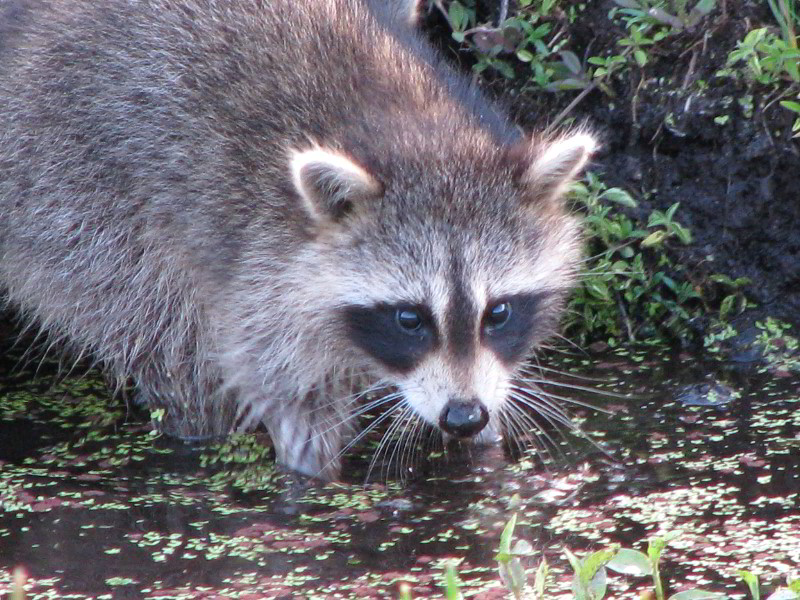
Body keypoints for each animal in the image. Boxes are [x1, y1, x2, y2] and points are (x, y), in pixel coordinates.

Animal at [0, 0, 592, 478]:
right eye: (410, 318)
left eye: (499, 312)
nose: (463, 416)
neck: (413, 134)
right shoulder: (264, 270)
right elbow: (293, 401)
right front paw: (309, 480)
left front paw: (487, 445)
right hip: (67, 194)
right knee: (164, 338)